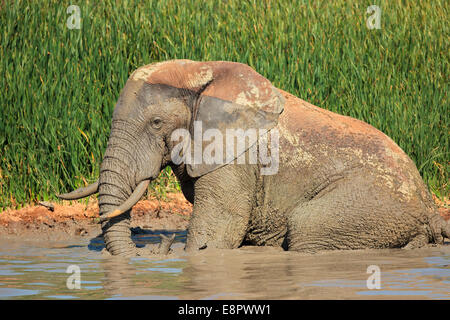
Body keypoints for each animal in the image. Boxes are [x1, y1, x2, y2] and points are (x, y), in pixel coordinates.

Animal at [58, 58, 448, 256]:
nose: (152, 250)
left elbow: (215, 235)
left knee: (306, 229)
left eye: (156, 124)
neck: (200, 71)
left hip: (376, 203)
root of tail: (429, 204)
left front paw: (194, 249)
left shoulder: (233, 154)